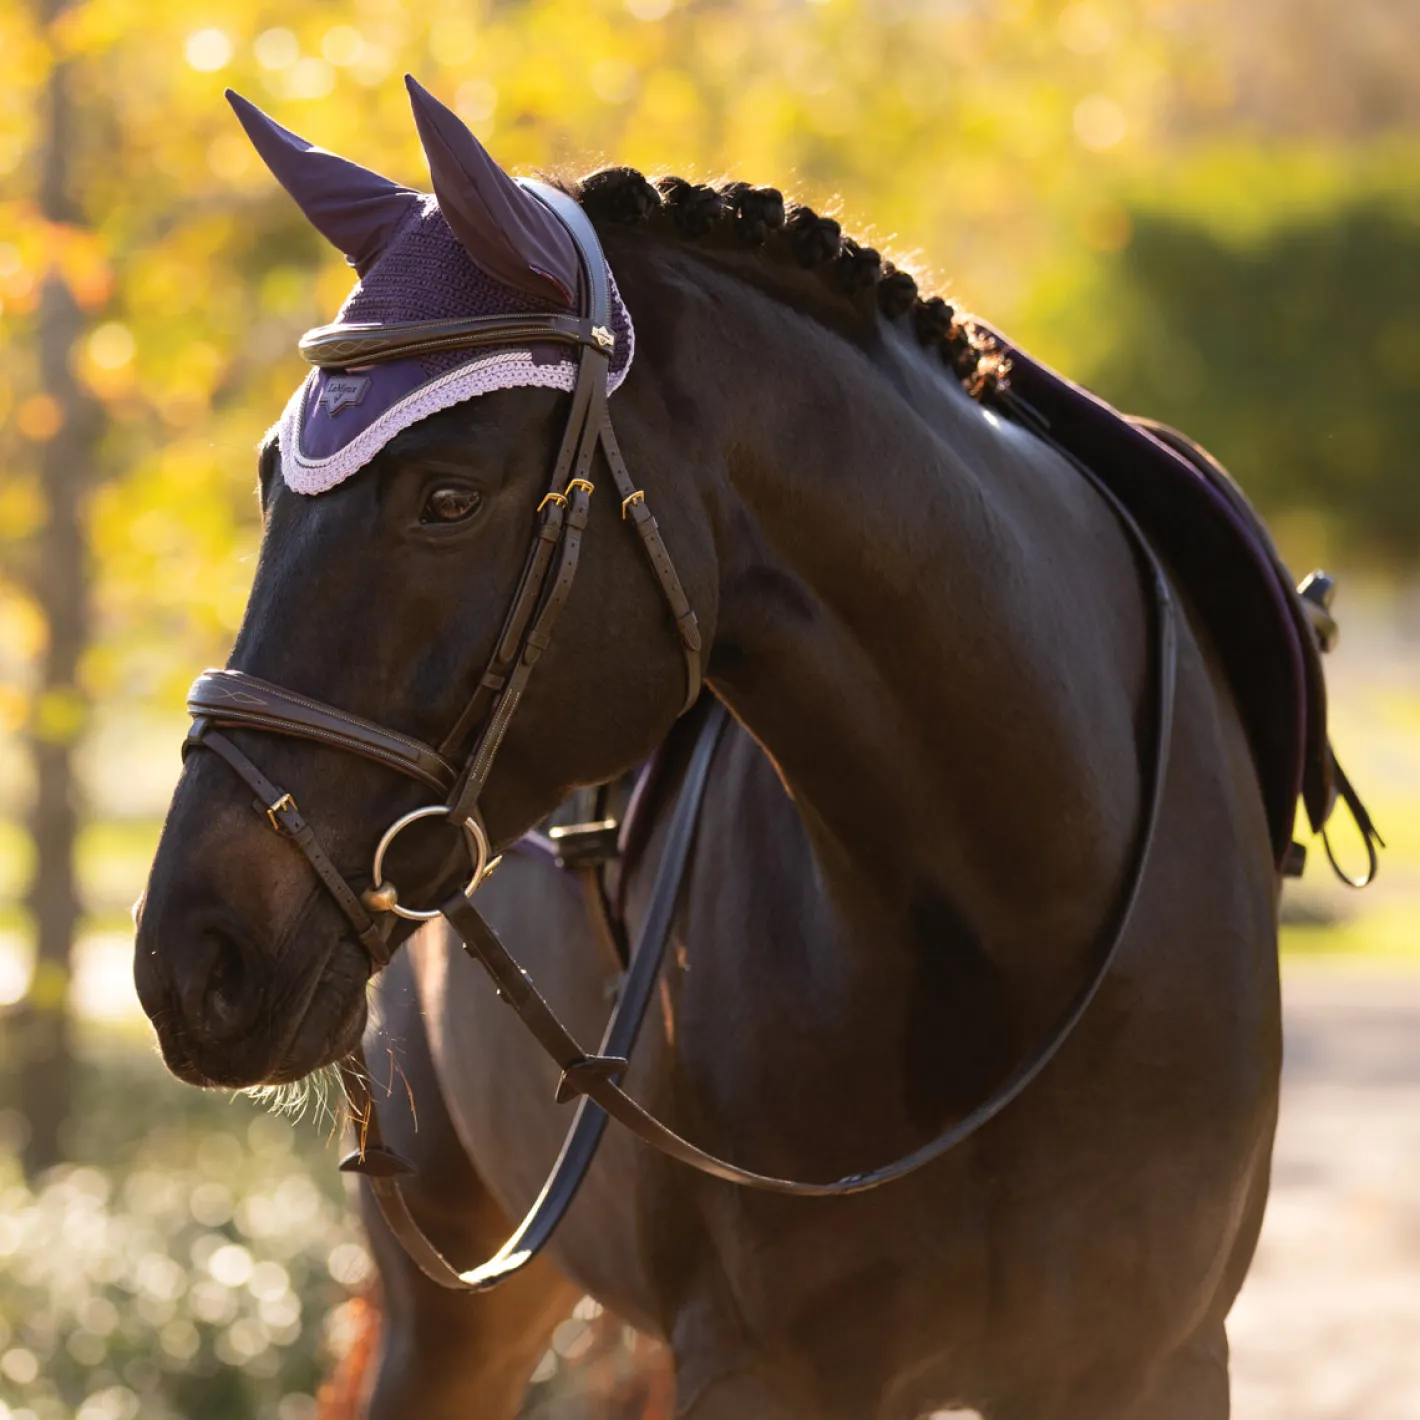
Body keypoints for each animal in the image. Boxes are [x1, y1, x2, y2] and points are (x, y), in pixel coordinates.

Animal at [134, 78, 1339, 1419]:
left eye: (447, 497)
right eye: (265, 481)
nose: (191, 958)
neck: (1011, 918)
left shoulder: (1153, 1360)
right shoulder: (762, 1365)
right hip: (452, 1316)